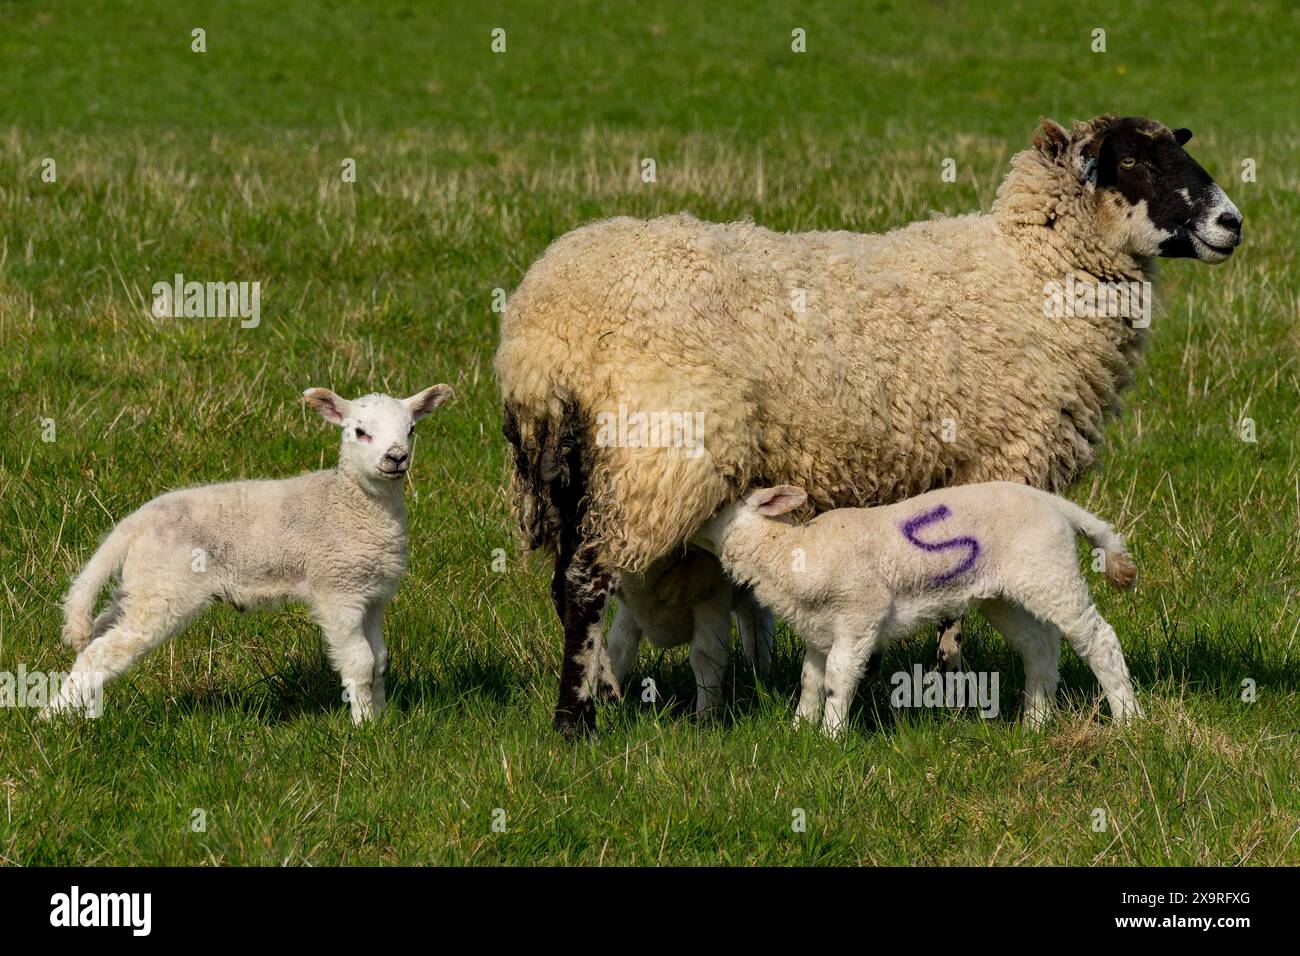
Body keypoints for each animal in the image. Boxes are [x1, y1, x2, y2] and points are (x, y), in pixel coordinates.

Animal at [45, 384, 452, 723]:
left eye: (411, 430)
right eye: (360, 432)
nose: (396, 457)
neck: (349, 504)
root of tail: (134, 523)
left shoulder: (373, 595)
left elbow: (380, 661)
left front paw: (382, 719)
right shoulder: (338, 590)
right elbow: (360, 662)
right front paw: (365, 726)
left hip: (142, 584)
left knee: (98, 634)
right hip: (164, 590)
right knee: (101, 651)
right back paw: (51, 719)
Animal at [606, 549, 774, 713]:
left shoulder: (712, 596)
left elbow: (705, 657)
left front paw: (706, 714)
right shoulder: (632, 609)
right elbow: (618, 650)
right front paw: (608, 702)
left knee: (755, 619)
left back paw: (759, 670)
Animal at [689, 483, 1141, 736]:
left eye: (712, 508)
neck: (789, 553)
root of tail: (1057, 505)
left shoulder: (860, 613)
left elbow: (838, 677)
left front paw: (830, 736)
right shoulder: (819, 628)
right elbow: (811, 681)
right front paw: (800, 730)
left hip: (1051, 570)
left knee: (1098, 639)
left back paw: (1128, 719)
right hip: (1004, 593)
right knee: (1039, 646)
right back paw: (1034, 723)